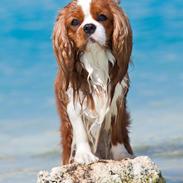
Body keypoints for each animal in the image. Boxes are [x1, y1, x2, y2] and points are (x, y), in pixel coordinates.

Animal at [52, 0, 133, 164]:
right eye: (74, 22)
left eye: (102, 17)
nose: (89, 27)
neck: (94, 57)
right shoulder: (72, 97)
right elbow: (80, 128)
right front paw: (84, 155)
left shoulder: (117, 97)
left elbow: (116, 128)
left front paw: (121, 154)